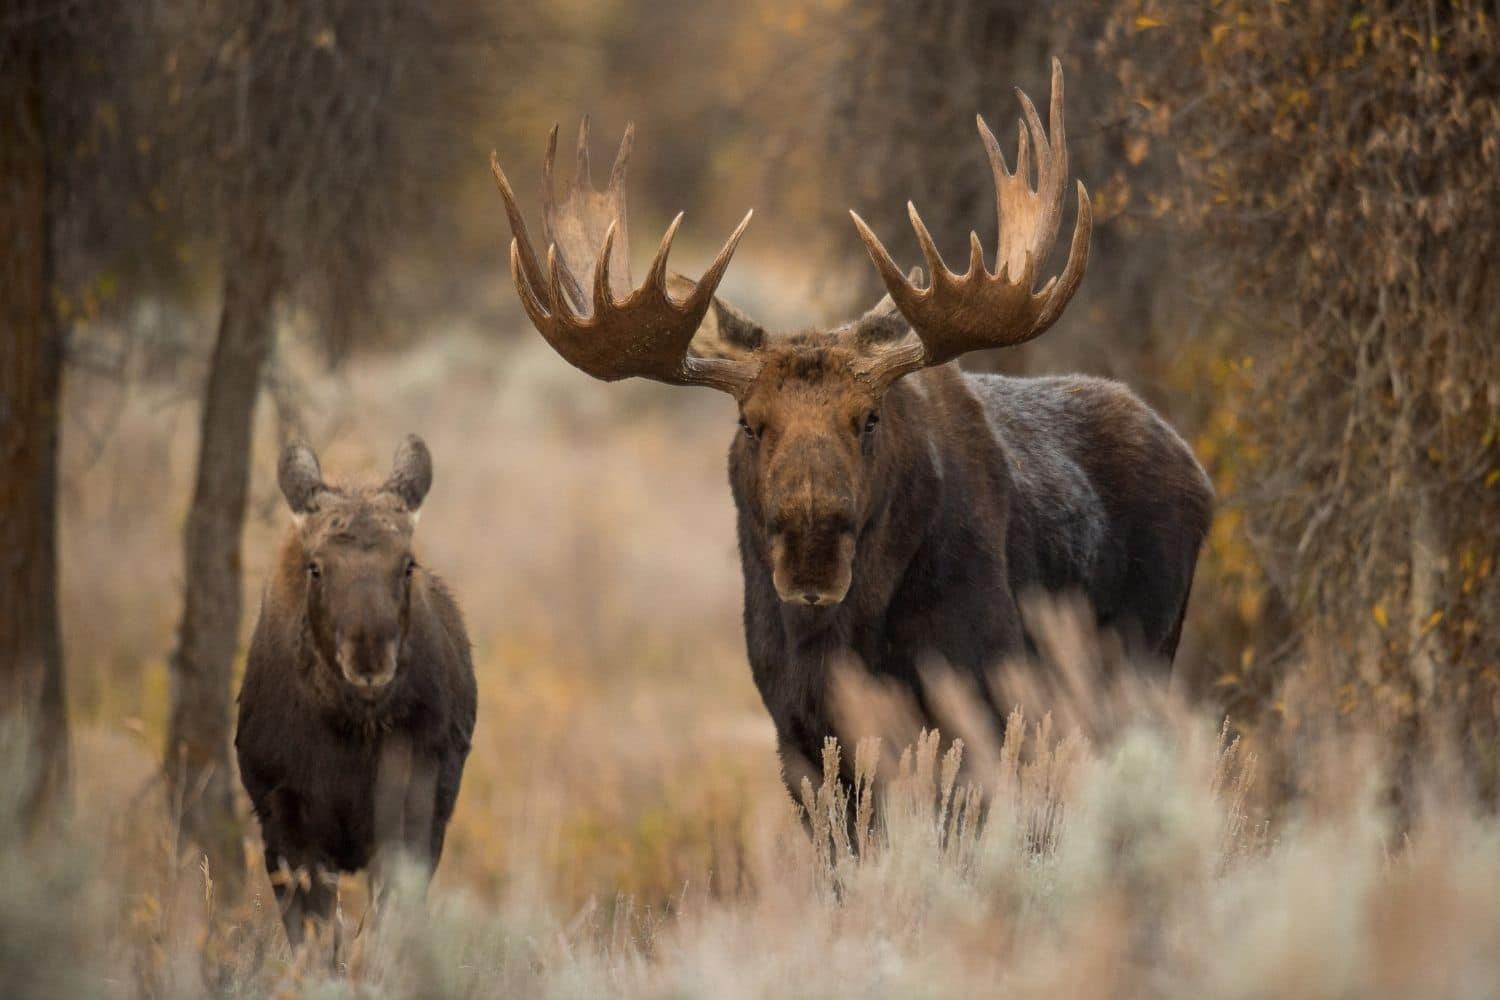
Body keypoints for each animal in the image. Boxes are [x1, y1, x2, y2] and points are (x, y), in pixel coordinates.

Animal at [234, 434, 474, 947]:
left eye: (406, 564)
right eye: (316, 567)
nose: (369, 658)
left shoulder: (410, 819)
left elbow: (384, 933)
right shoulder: (286, 826)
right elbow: (318, 941)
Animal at [486, 62, 1212, 803]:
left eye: (869, 417)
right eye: (749, 422)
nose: (812, 552)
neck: (840, 640)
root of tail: (1196, 471)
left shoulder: (981, 697)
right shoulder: (799, 735)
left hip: (1140, 666)